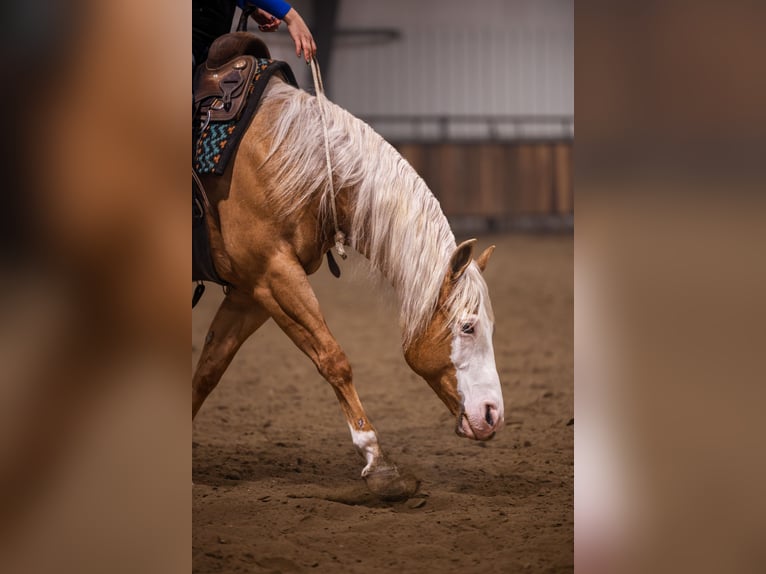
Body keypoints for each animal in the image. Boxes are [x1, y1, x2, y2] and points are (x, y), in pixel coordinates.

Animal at [193, 65, 505, 500]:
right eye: (467, 326)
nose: (493, 415)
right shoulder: (273, 274)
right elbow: (334, 359)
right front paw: (379, 463)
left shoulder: (249, 293)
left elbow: (209, 368)